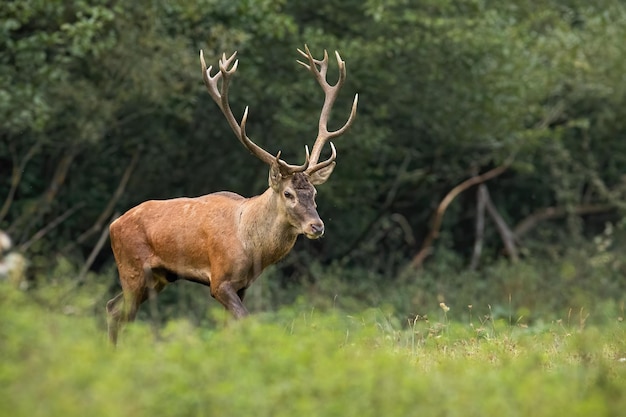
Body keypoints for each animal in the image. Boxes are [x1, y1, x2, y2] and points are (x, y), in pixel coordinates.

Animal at [106, 46, 356, 344]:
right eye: (288, 194)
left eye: (315, 192)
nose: (317, 226)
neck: (250, 244)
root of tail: (113, 226)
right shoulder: (219, 280)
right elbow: (246, 321)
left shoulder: (242, 286)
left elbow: (230, 329)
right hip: (131, 267)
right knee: (121, 313)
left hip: (158, 277)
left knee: (113, 308)